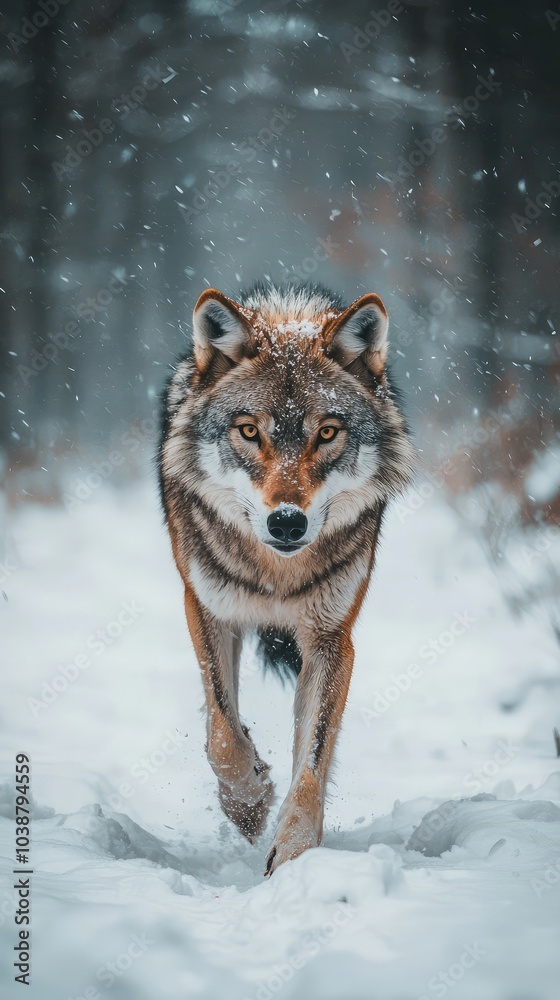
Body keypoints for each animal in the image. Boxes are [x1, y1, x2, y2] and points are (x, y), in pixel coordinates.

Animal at [159, 281, 413, 875]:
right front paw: (250, 803)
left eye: (327, 432)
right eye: (250, 431)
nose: (288, 522)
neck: (277, 575)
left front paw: (295, 855)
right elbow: (222, 734)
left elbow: (312, 763)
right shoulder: (207, 610)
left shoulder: (331, 639)